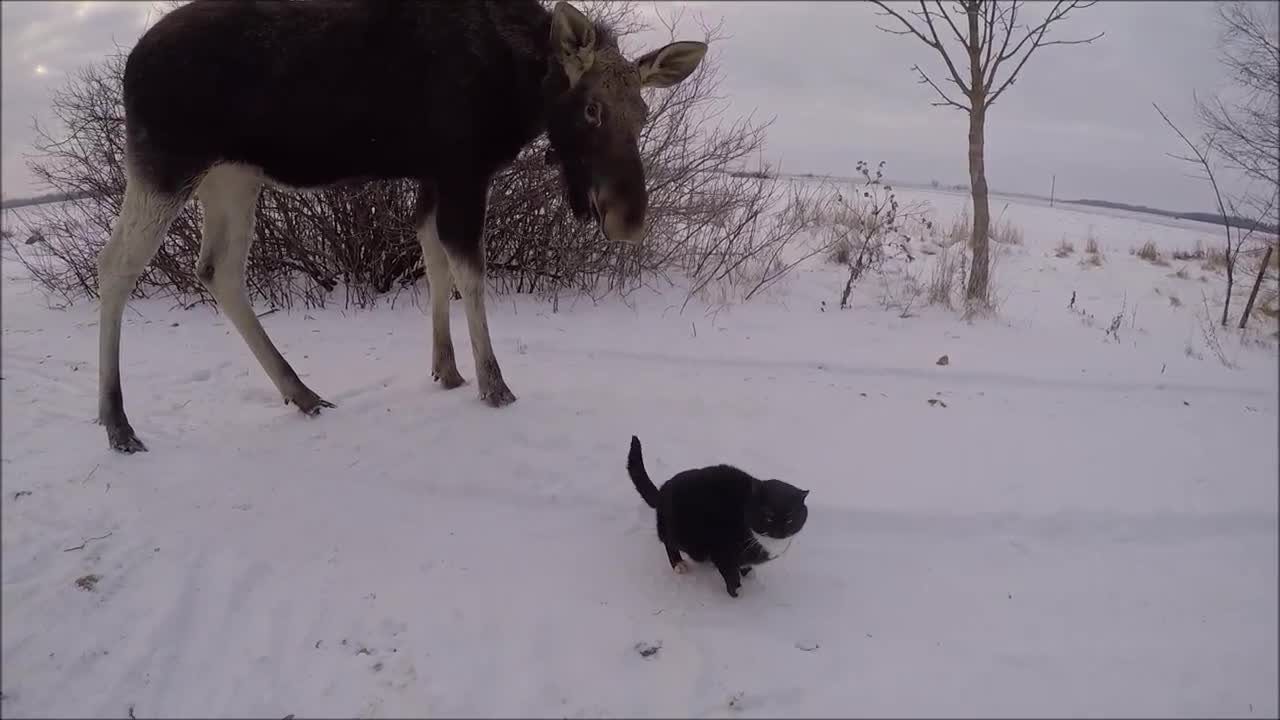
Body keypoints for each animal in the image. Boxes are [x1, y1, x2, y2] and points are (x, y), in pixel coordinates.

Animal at [97, 0, 711, 448]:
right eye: (591, 109)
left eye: (643, 113)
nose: (629, 218)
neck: (519, 89)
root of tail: (128, 67)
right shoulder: (464, 170)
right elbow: (471, 273)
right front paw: (494, 383)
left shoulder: (434, 175)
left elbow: (435, 263)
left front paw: (447, 368)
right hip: (166, 164)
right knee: (118, 264)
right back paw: (117, 421)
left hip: (232, 176)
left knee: (217, 270)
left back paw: (301, 391)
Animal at [627, 430, 808, 594]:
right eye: (768, 516)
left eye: (790, 518)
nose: (779, 531)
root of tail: (662, 491)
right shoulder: (722, 550)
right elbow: (730, 575)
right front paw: (737, 593)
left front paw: (748, 572)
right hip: (681, 532)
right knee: (668, 542)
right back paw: (679, 564)